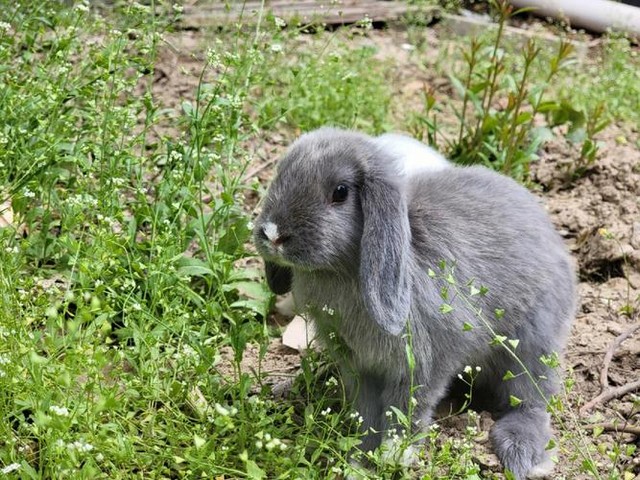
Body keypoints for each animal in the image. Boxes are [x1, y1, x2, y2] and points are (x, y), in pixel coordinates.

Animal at [252, 127, 576, 480]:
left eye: (340, 192)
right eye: (281, 173)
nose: (273, 233)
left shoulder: (424, 363)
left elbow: (406, 407)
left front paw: (395, 453)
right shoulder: (360, 368)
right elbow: (367, 412)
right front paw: (362, 459)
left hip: (529, 345)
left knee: (532, 398)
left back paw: (524, 454)